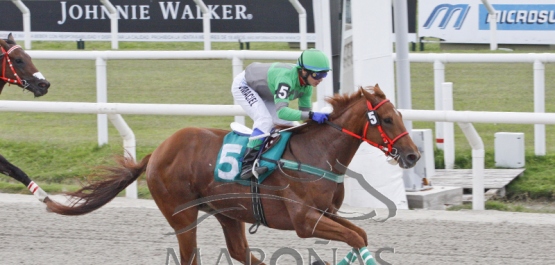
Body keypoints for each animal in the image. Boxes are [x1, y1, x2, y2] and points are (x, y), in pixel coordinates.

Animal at [46, 85, 422, 264]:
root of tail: (156, 153)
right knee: (190, 257)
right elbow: (356, 238)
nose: (413, 155)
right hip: (181, 216)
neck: (317, 153)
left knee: (241, 253)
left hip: (229, 212)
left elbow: (360, 234)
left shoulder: (326, 212)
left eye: (399, 115)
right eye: (387, 119)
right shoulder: (305, 221)